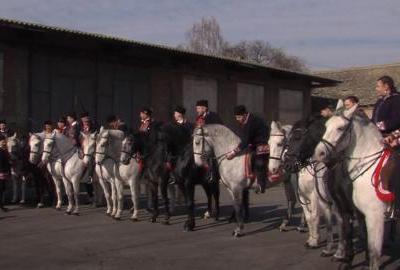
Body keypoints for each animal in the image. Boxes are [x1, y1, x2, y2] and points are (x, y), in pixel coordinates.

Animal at [314, 104, 390, 270]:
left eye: (341, 128)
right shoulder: (352, 210)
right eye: (326, 126)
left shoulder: (375, 215)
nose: (319, 153)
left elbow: (374, 252)